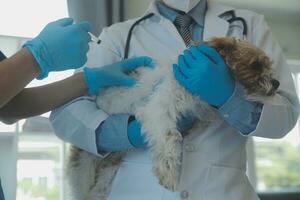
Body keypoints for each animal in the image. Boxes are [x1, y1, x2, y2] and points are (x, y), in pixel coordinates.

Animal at [65, 37, 278, 198]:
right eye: (256, 64)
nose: (276, 83)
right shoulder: (159, 109)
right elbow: (171, 137)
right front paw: (168, 173)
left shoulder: (199, 114)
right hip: (83, 165)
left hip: (110, 167)